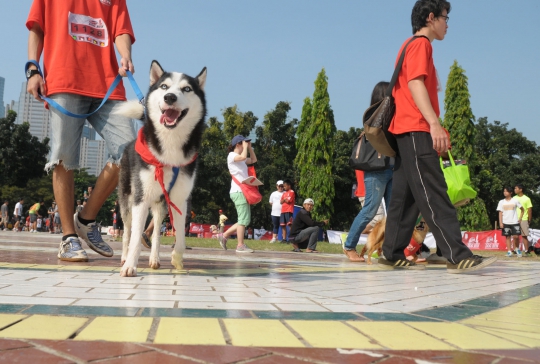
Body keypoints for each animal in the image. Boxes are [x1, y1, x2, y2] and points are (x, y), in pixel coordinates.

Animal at [116, 60, 207, 276]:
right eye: (164, 86)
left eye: (187, 89)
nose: (170, 97)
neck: (170, 145)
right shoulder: (141, 198)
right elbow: (135, 237)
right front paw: (130, 265)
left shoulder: (180, 199)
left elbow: (180, 237)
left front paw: (177, 259)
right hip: (127, 199)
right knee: (127, 229)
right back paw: (124, 257)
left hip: (161, 203)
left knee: (157, 228)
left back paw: (155, 258)